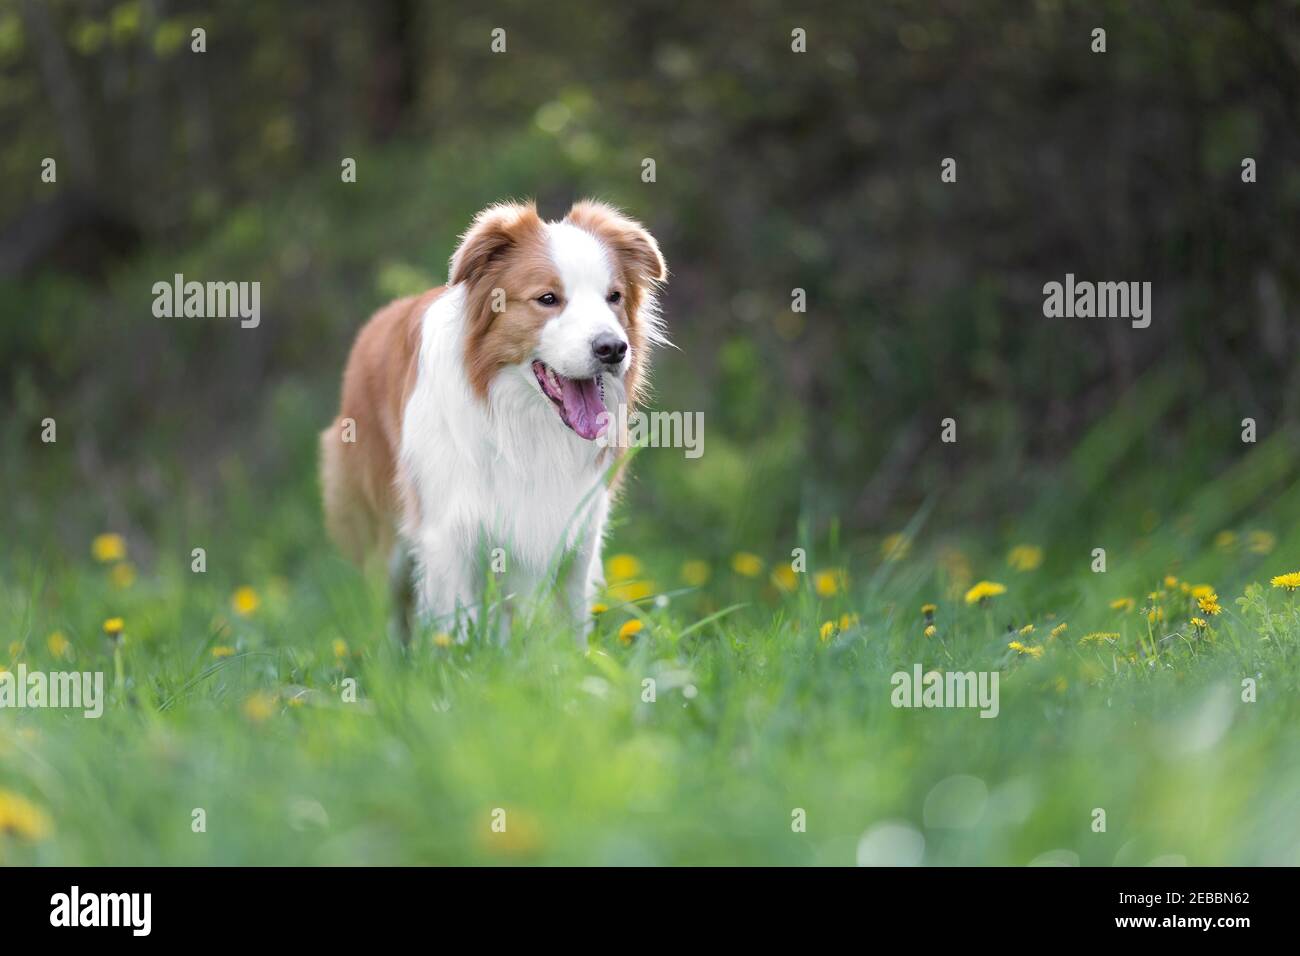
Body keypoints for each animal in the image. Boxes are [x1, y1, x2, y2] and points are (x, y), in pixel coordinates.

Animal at [318, 202, 665, 650]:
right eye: (547, 299)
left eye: (614, 297)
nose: (613, 348)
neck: (526, 422)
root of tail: (376, 322)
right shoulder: (448, 532)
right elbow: (458, 625)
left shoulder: (578, 526)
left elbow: (570, 620)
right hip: (382, 531)